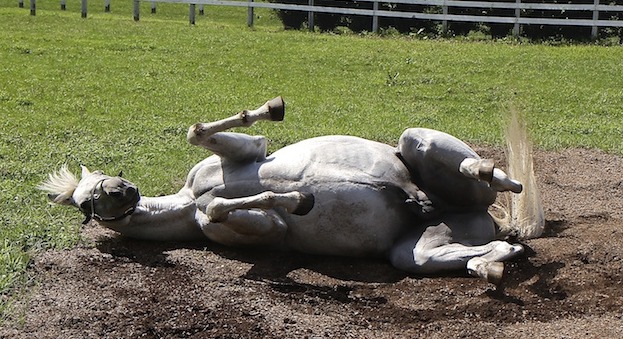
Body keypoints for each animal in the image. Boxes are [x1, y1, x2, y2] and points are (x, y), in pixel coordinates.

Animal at [39, 97, 536, 284]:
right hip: (421, 250)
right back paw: (491, 261)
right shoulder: (259, 228)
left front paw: (271, 108)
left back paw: (492, 173)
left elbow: (198, 132)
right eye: (88, 202)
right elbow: (223, 209)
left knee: (480, 172)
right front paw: (300, 199)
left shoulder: (246, 152)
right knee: (481, 249)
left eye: (101, 179)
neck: (185, 203)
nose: (125, 191)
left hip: (421, 143)